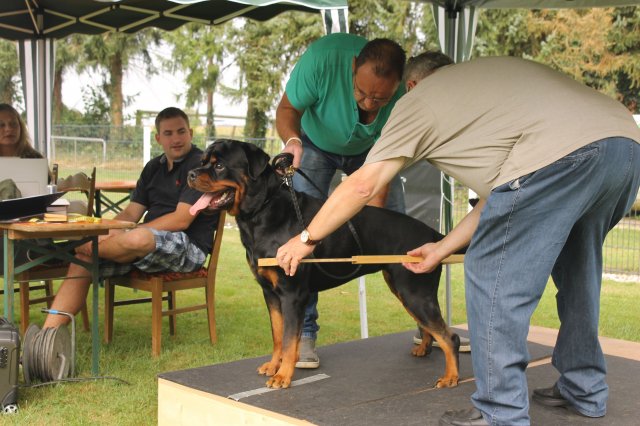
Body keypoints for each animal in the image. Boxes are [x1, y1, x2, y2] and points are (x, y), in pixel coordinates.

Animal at [186, 139, 460, 390]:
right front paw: (274, 365)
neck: (262, 212)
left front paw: (283, 376)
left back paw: (451, 376)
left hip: (415, 292)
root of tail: (434, 236)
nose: (190, 173)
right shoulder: (270, 293)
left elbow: (289, 339)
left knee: (449, 336)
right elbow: (277, 334)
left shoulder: (292, 293)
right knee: (430, 327)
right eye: (203, 161)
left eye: (219, 165)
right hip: (403, 289)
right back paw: (424, 349)